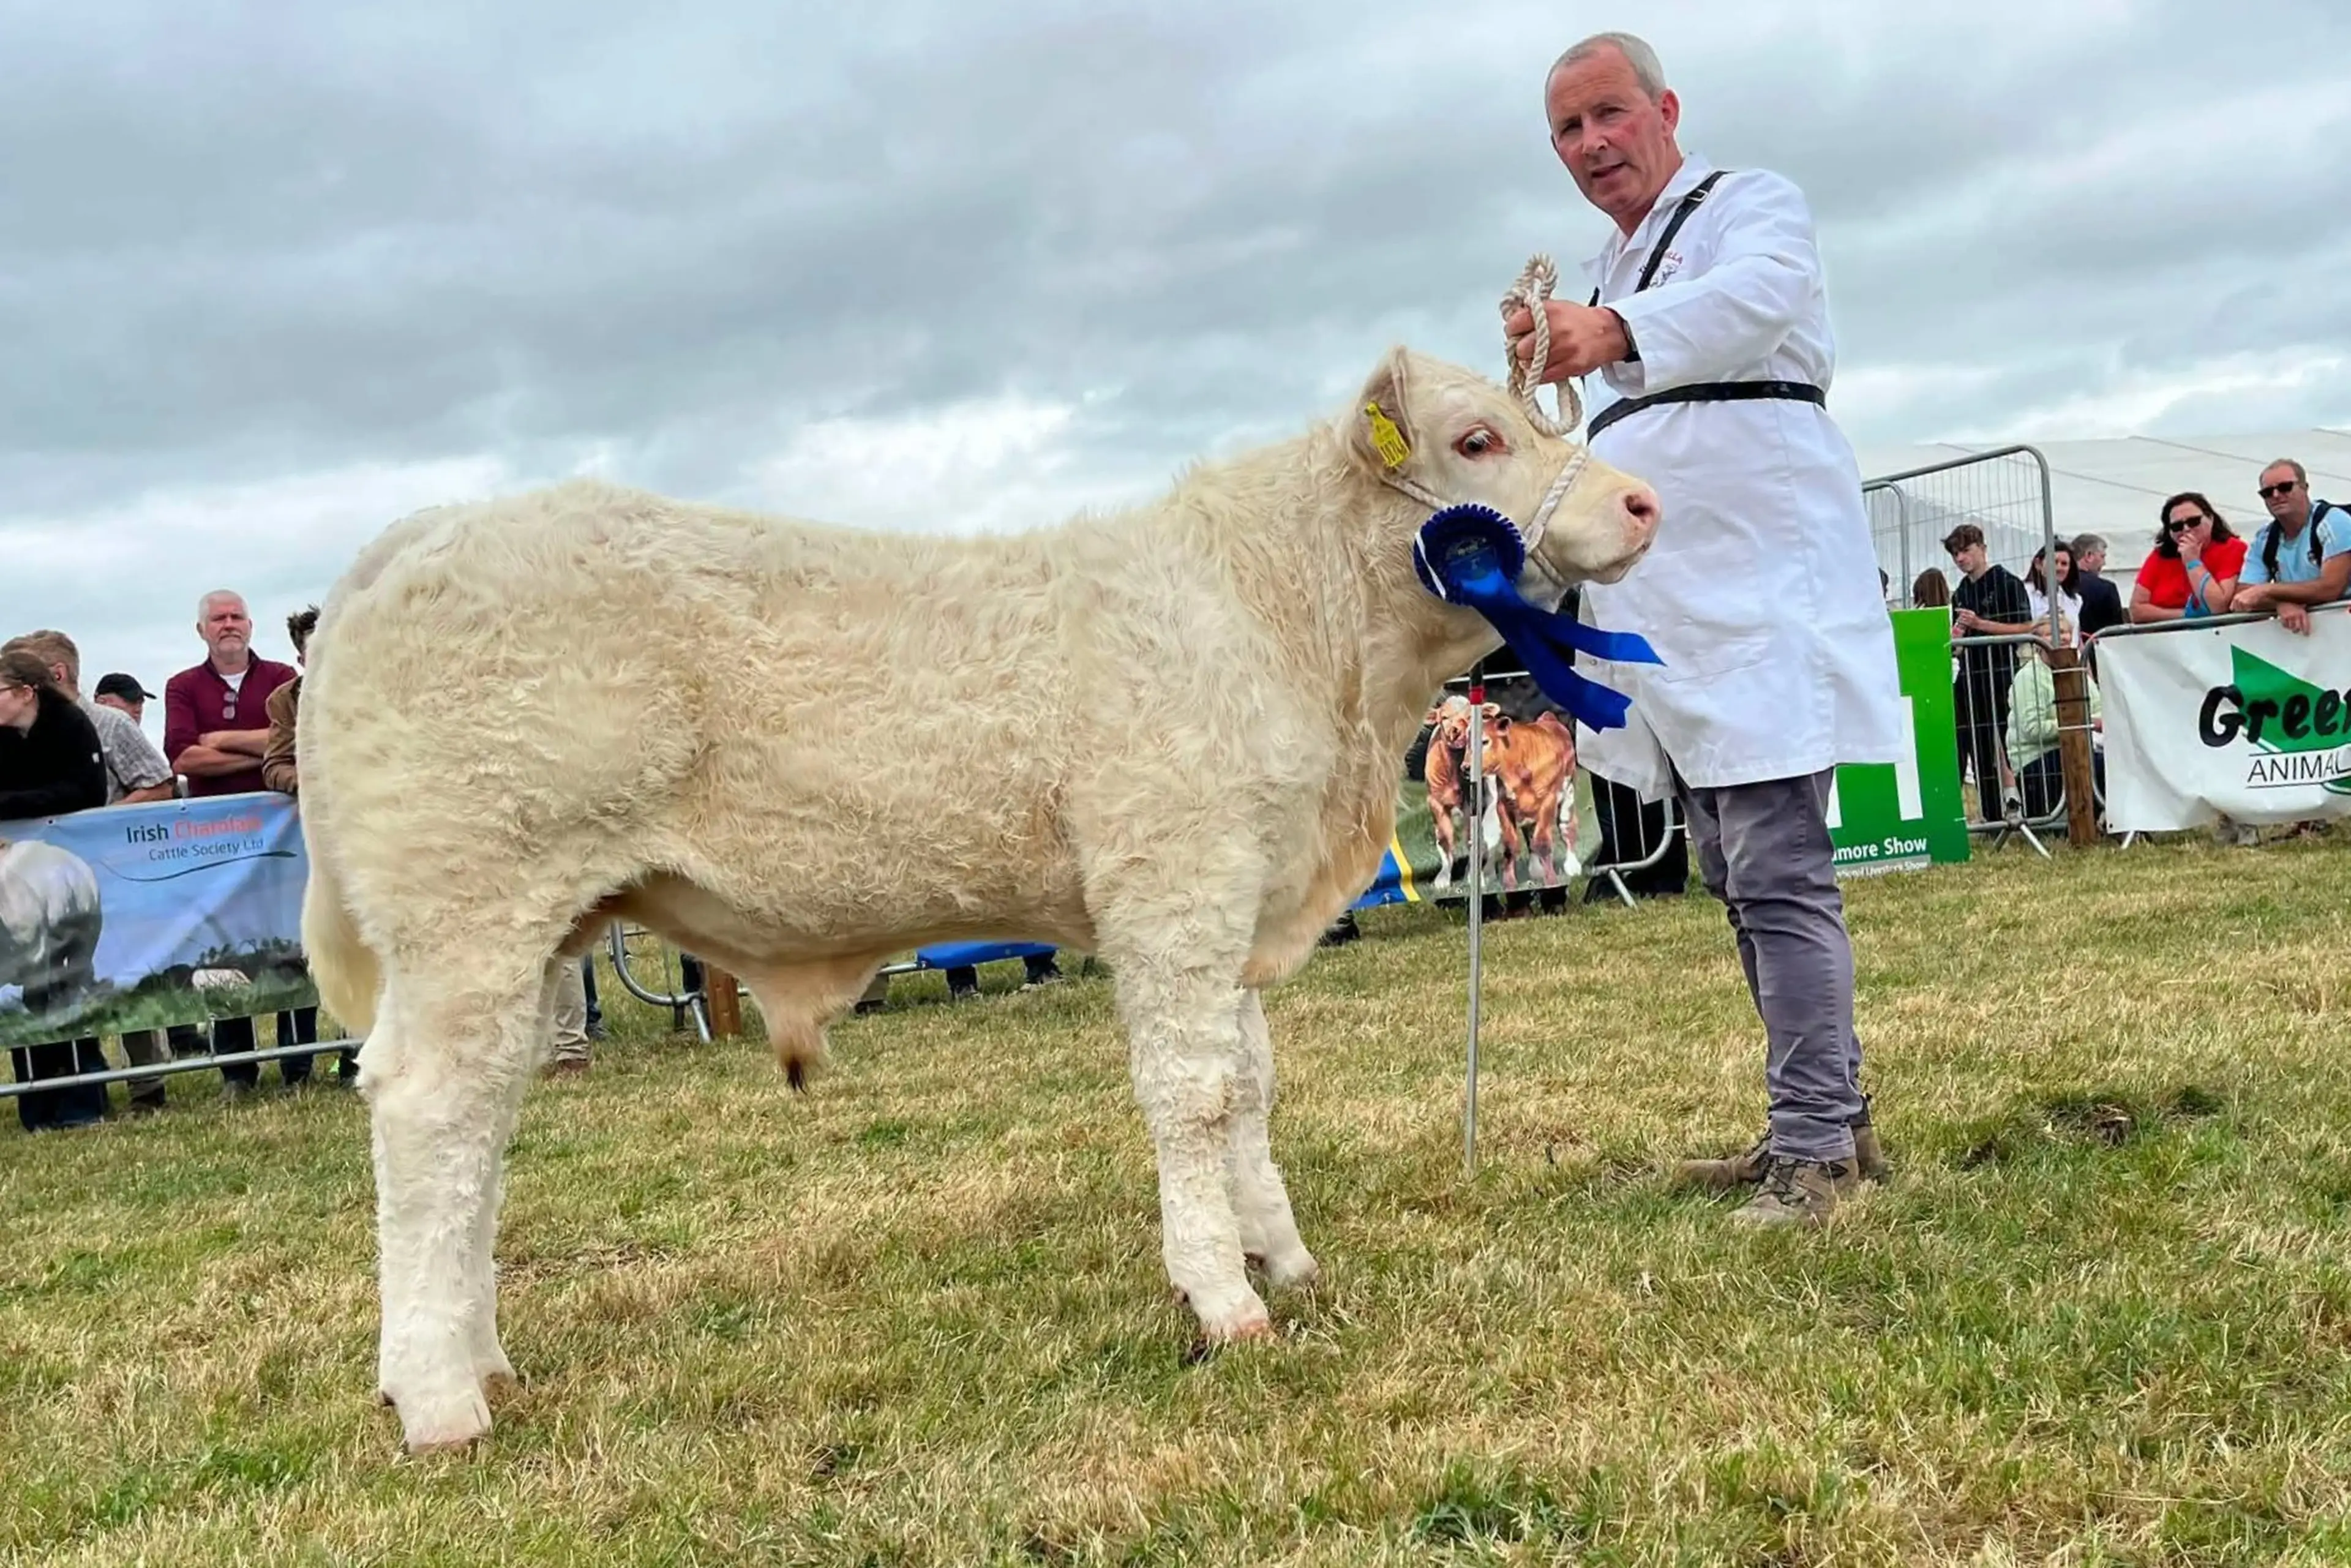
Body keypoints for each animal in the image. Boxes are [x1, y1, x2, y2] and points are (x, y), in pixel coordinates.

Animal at [1478, 711, 1580, 891]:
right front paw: (1510, 884)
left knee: (1566, 826)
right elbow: (1511, 845)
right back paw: (1536, 870)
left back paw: (1572, 866)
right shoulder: (1503, 805)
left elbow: (1543, 843)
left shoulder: (1548, 800)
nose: (1466, 767)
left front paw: (1551, 881)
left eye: (1485, 741)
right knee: (1530, 833)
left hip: (1568, 793)